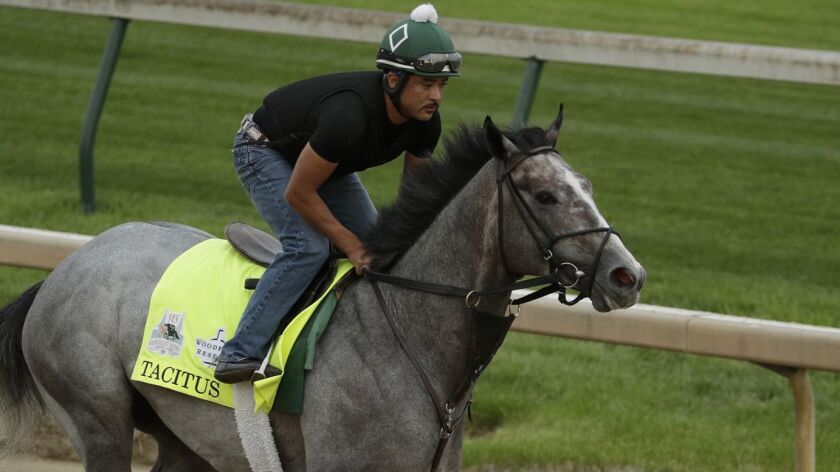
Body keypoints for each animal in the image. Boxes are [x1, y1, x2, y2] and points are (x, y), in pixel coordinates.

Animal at [0, 111, 644, 472]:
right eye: (545, 195)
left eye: (586, 185)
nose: (626, 275)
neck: (409, 332)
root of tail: (63, 268)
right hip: (96, 419)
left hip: (182, 437)